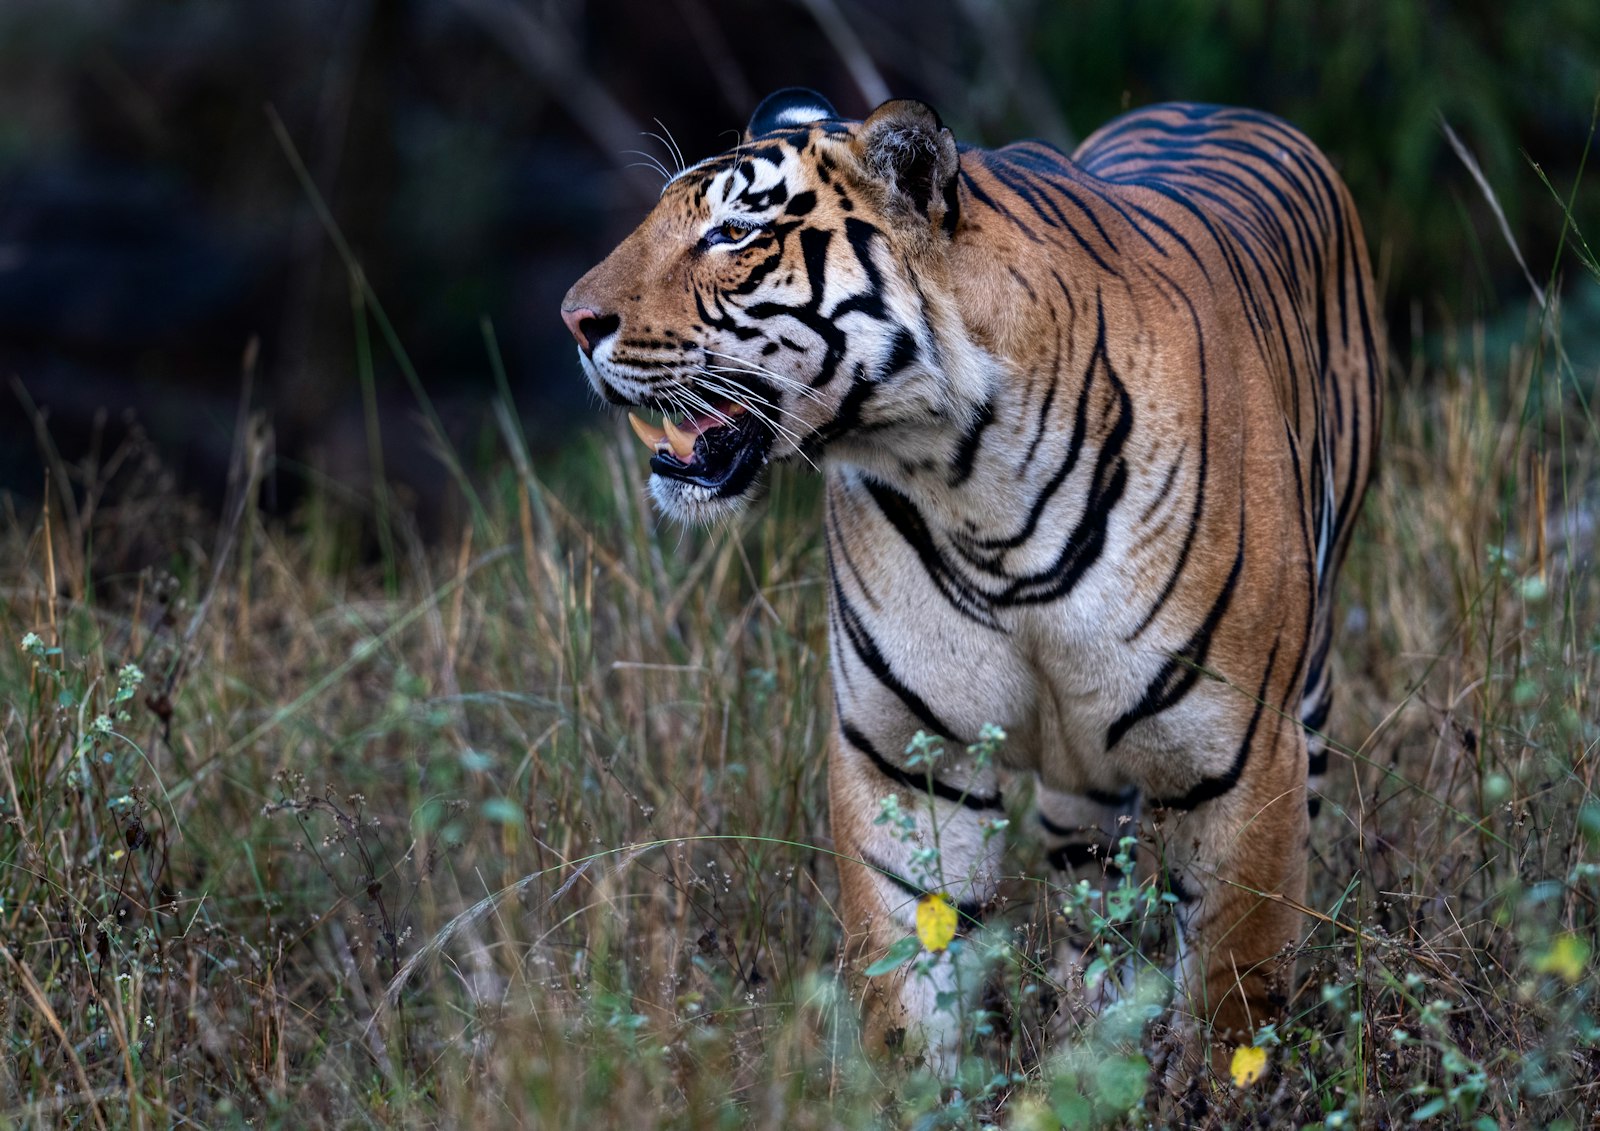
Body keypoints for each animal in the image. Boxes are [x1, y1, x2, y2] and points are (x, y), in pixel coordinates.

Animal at [561, 87, 1381, 1078]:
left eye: (734, 232)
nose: (572, 319)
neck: (973, 483)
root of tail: (1206, 104)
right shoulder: (907, 753)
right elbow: (907, 985)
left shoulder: (1240, 756)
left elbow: (1232, 1002)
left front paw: (1215, 1087)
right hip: (1079, 781)